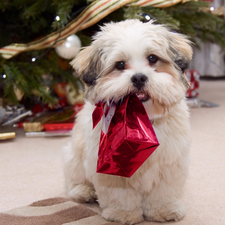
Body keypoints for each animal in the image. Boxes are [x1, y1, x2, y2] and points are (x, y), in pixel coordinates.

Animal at [62, 19, 192, 225]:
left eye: (152, 58)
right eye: (120, 64)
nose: (139, 77)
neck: (141, 120)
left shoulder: (170, 162)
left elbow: (164, 192)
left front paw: (164, 209)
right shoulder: (109, 167)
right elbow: (120, 195)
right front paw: (123, 214)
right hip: (73, 155)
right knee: (74, 179)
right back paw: (84, 191)